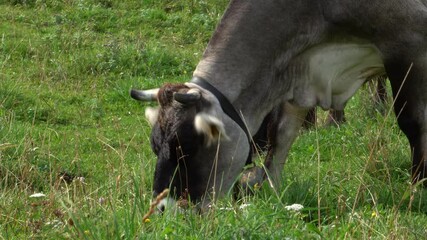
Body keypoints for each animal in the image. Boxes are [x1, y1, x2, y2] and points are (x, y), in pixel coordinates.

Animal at [132, 0, 426, 210]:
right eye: (155, 146)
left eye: (188, 147)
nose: (162, 208)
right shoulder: (301, 71)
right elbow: (283, 133)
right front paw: (268, 184)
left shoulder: (409, 39)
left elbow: (412, 121)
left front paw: (419, 183)